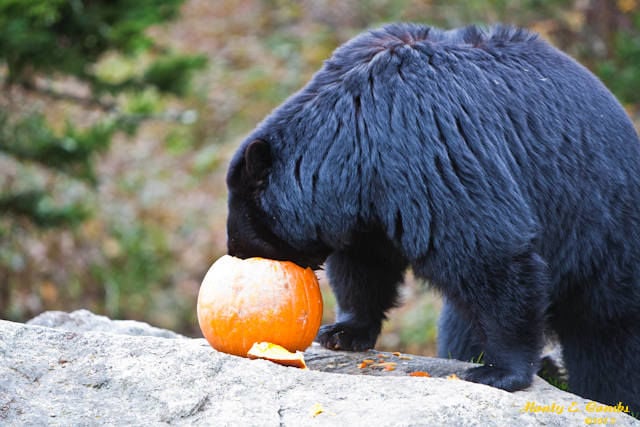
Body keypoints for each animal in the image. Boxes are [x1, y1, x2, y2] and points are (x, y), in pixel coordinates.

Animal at [225, 22, 640, 412]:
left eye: (243, 231)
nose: (236, 253)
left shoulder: (426, 146)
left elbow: (489, 248)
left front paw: (501, 371)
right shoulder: (368, 202)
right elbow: (364, 264)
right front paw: (343, 332)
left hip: (604, 233)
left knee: (608, 340)